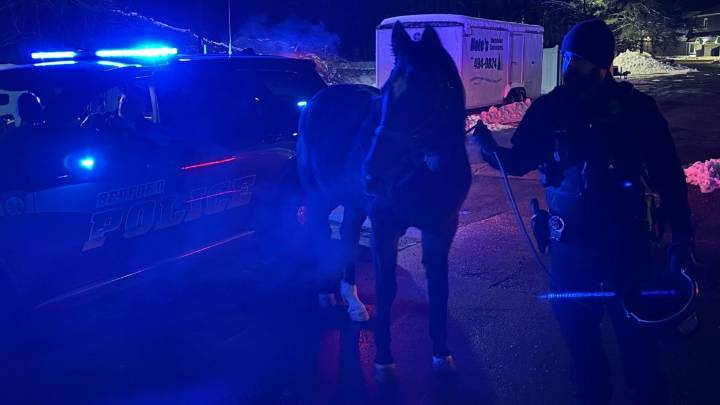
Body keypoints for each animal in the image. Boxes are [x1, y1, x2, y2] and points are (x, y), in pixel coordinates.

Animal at [297, 22, 471, 380]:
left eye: (423, 92)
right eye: (388, 92)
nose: (371, 172)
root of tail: (316, 99)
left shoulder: (442, 229)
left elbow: (440, 289)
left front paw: (441, 355)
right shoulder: (385, 226)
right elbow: (387, 287)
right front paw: (384, 360)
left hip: (352, 204)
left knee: (347, 236)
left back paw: (353, 302)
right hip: (321, 196)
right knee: (318, 231)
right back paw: (325, 292)